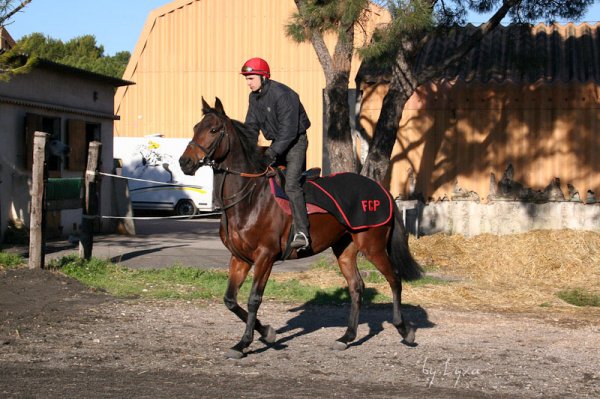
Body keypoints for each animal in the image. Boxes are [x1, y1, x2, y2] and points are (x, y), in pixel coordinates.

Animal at [178, 98, 422, 360]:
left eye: (214, 130)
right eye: (196, 128)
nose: (185, 162)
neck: (249, 198)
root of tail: (382, 190)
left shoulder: (265, 257)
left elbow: (254, 299)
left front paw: (244, 342)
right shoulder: (240, 258)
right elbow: (230, 300)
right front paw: (266, 333)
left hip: (372, 247)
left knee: (394, 278)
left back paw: (404, 330)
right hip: (345, 249)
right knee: (357, 287)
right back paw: (346, 337)